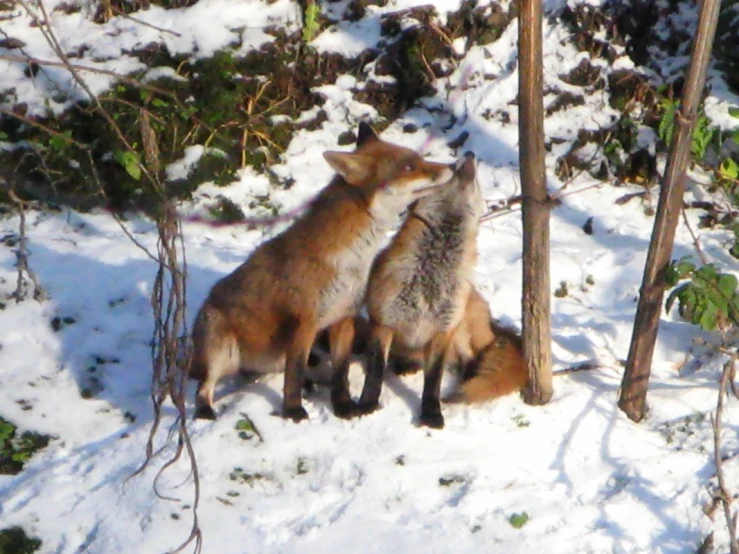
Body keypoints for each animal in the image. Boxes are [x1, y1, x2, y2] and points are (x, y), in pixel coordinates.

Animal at [189, 122, 456, 418]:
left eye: (419, 160)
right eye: (410, 166)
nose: (453, 166)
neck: (353, 259)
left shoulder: (344, 316)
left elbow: (341, 371)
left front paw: (343, 405)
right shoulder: (305, 321)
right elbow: (293, 374)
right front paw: (293, 412)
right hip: (220, 352)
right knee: (203, 388)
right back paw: (205, 411)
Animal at [356, 151, 486, 426]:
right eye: (450, 165)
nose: (470, 153)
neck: (430, 279)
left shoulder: (443, 330)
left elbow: (433, 381)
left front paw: (431, 413)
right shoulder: (383, 323)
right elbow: (375, 372)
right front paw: (367, 405)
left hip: (461, 331)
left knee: (473, 359)